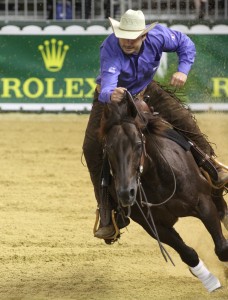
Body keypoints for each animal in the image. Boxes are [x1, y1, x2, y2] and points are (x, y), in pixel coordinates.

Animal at [99, 92, 228, 292]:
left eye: (138, 144)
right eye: (108, 147)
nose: (126, 193)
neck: (157, 180)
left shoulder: (204, 203)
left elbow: (222, 248)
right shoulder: (155, 226)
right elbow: (188, 254)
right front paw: (211, 282)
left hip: (214, 189)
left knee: (223, 211)